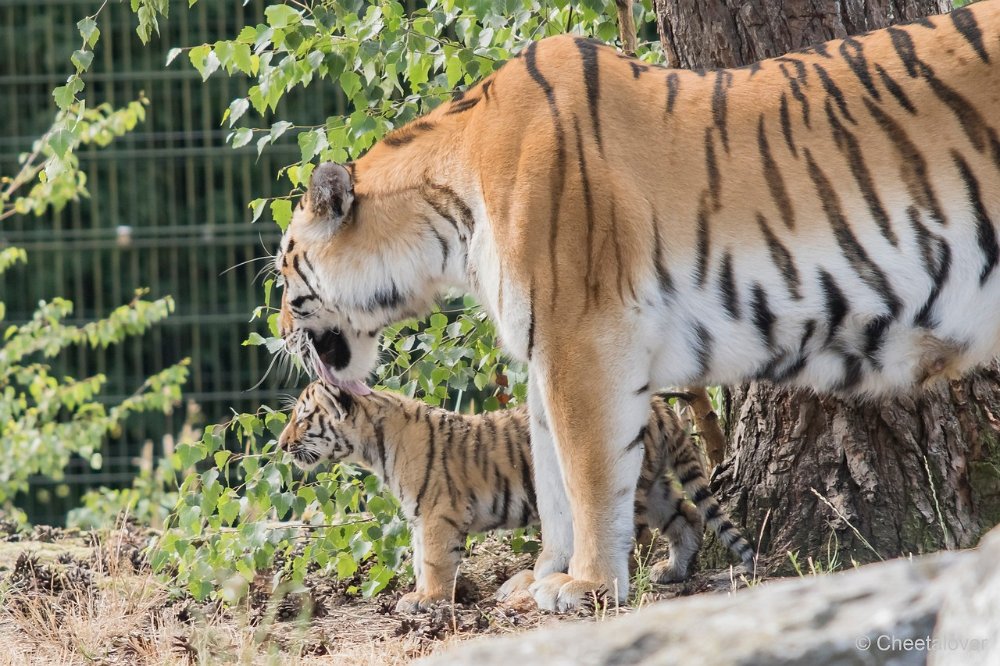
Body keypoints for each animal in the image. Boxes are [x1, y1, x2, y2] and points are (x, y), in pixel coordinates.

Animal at [278, 2, 1000, 608]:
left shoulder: (583, 339)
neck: (451, 219)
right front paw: (541, 578)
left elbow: (589, 473)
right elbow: (549, 472)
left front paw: (586, 585)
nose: (280, 331)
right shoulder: (544, 351)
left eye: (283, 268)